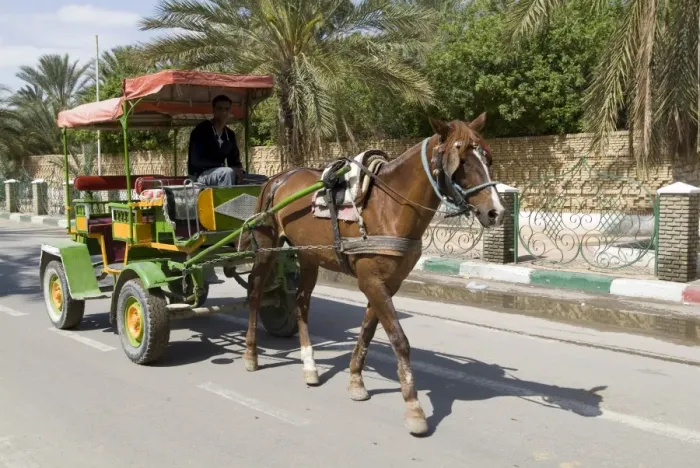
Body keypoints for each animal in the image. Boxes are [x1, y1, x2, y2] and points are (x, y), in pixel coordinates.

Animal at [242, 114, 505, 435]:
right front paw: (414, 408)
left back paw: (310, 365)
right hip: (267, 247)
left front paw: (356, 381)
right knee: (255, 292)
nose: (496, 212)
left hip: (308, 255)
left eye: (487, 158)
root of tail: (277, 178)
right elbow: (399, 340)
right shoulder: (371, 281)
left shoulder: (387, 283)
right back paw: (251, 354)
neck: (389, 207)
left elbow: (368, 330)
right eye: (462, 161)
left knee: (301, 302)